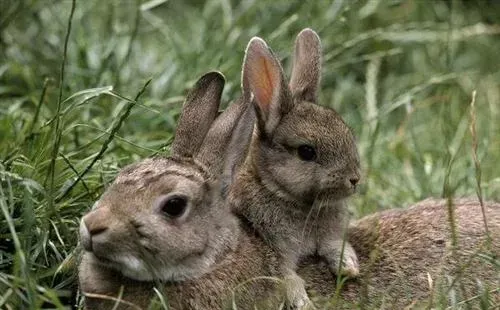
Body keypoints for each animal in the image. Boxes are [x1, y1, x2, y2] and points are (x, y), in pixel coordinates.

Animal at [229, 28, 362, 308]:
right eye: (306, 152)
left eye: (347, 133)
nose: (354, 179)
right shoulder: (274, 249)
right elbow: (287, 277)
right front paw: (303, 302)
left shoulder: (329, 235)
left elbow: (334, 245)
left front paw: (348, 266)